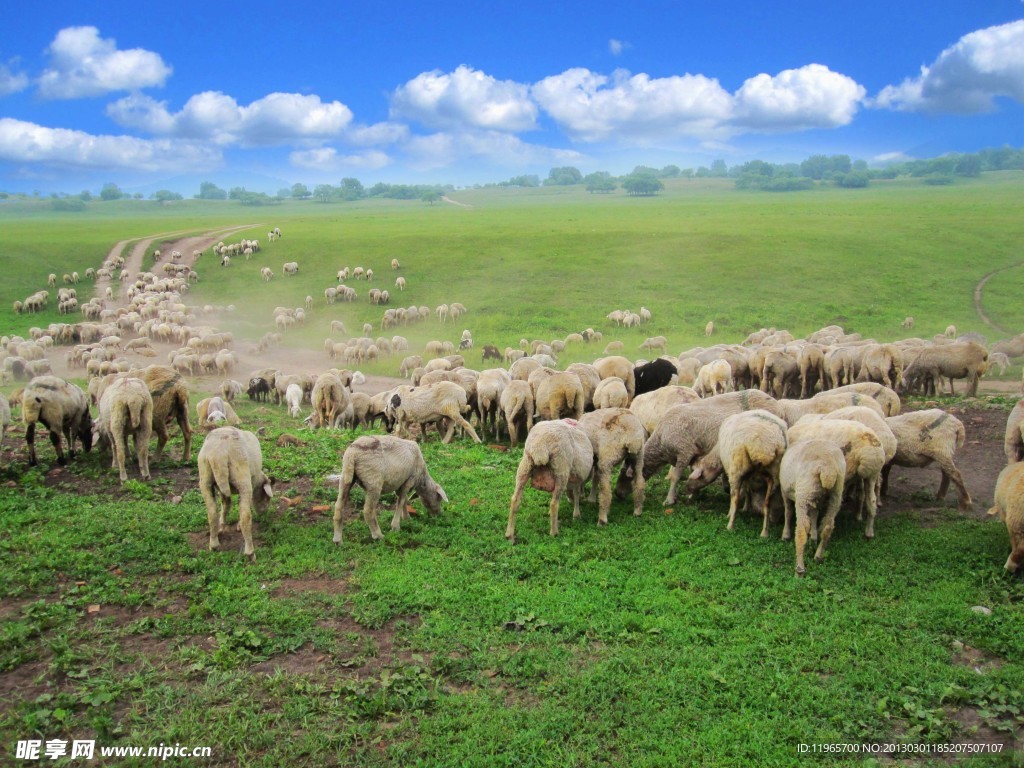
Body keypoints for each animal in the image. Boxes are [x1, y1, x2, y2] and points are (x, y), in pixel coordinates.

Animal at [196, 428, 274, 561]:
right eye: (267, 498)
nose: (264, 512)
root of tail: (218, 455)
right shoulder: (250, 485)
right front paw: (237, 526)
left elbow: (226, 505)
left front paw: (221, 527)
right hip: (242, 478)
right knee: (245, 517)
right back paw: (250, 552)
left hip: (205, 479)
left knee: (212, 513)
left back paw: (214, 544)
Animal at [778, 438, 843, 577]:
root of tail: (827, 466)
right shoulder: (816, 500)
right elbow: (814, 514)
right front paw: (813, 537)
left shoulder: (784, 492)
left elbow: (788, 512)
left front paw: (785, 534)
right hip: (835, 493)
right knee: (828, 525)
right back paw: (818, 556)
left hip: (803, 493)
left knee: (801, 530)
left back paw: (799, 570)